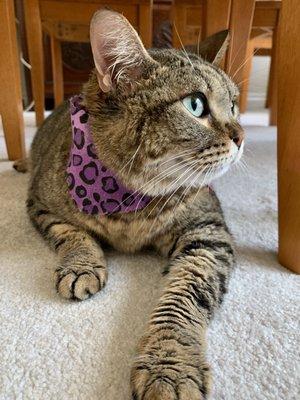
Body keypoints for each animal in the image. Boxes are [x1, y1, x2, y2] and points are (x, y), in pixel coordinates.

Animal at [26, 9, 244, 400]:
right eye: (195, 105)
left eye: (234, 105)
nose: (242, 135)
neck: (128, 201)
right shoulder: (40, 203)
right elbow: (72, 234)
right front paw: (81, 265)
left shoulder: (208, 231)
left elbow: (186, 296)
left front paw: (170, 365)